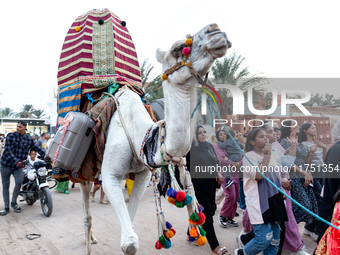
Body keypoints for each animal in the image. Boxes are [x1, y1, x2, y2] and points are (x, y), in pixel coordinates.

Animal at [79, 23, 231, 255]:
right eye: (178, 48)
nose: (215, 30)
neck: (140, 134)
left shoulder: (142, 174)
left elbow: (130, 228)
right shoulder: (110, 175)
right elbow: (129, 244)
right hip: (85, 171)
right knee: (86, 211)